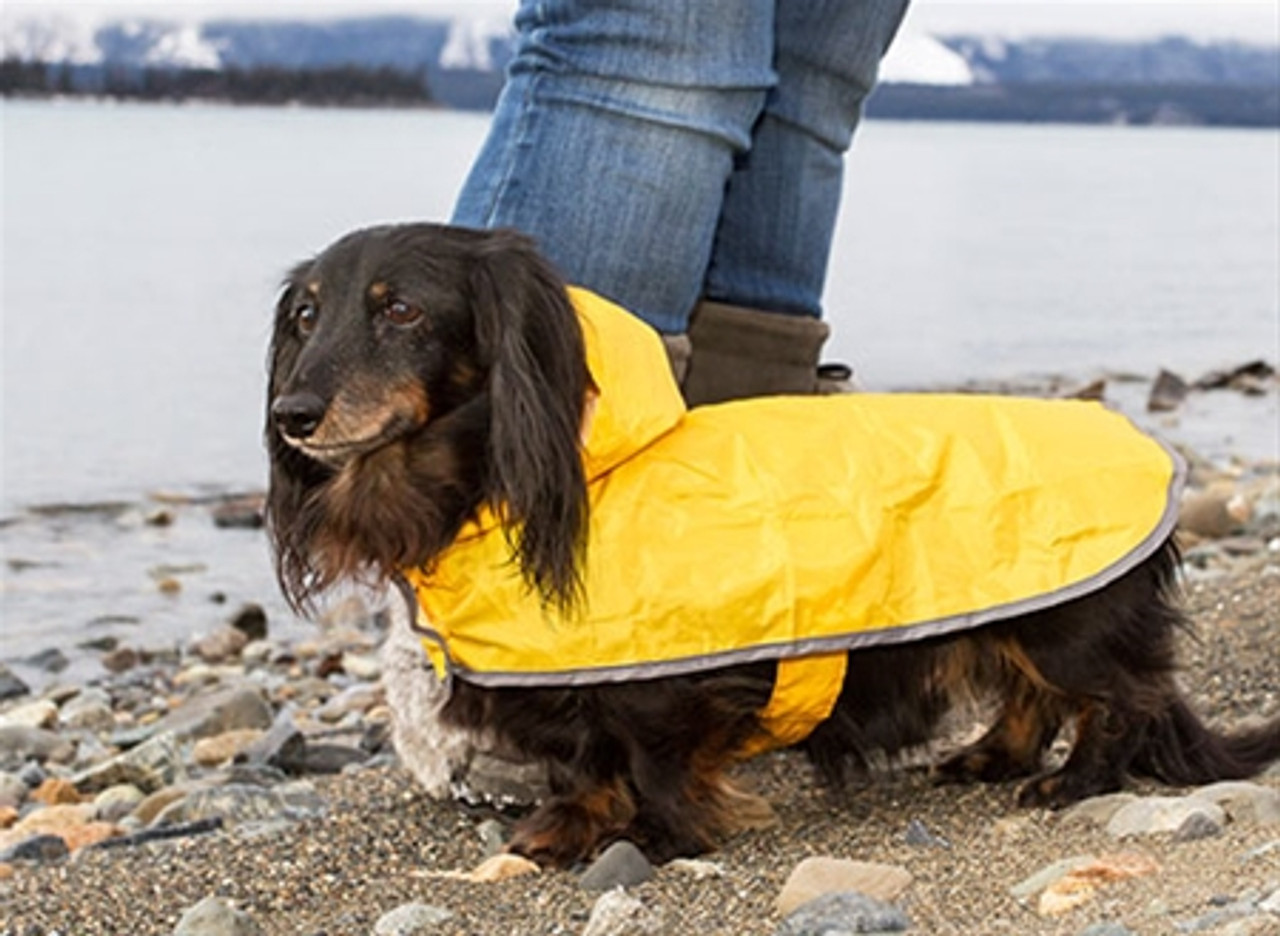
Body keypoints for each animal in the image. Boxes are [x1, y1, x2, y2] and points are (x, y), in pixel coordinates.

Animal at [262, 222, 1280, 865]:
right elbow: (586, 762)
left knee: (1118, 698)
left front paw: (658, 837)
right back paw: (993, 757)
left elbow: (650, 763)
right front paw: (569, 825)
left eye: (401, 311)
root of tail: (1144, 446)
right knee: (1032, 692)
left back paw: (1076, 781)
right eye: (307, 315)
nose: (292, 415)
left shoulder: (662, 684)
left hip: (1066, 623)